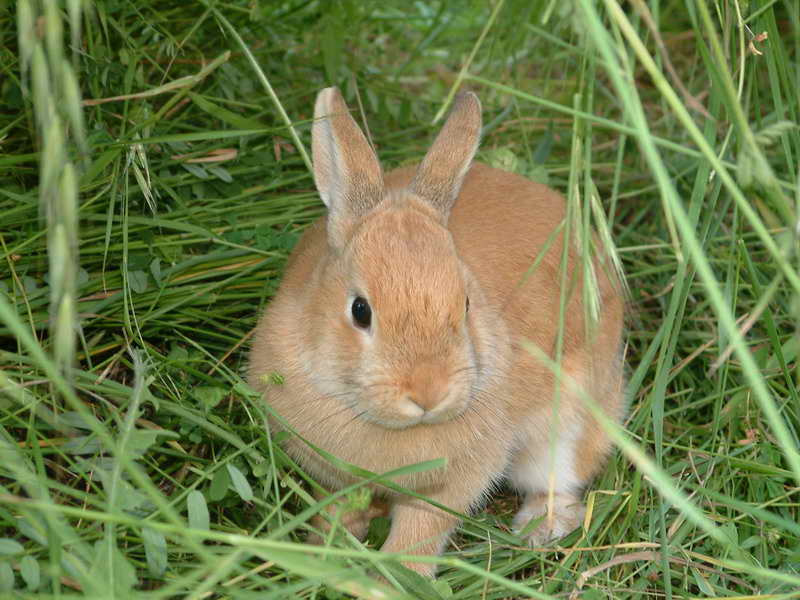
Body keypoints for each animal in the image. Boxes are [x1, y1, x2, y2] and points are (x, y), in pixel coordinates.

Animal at [248, 87, 625, 577]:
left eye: (465, 304)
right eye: (360, 310)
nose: (429, 392)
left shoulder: (452, 485)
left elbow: (419, 534)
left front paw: (394, 579)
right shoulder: (332, 478)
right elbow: (337, 512)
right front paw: (324, 551)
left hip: (572, 418)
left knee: (560, 475)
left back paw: (538, 529)